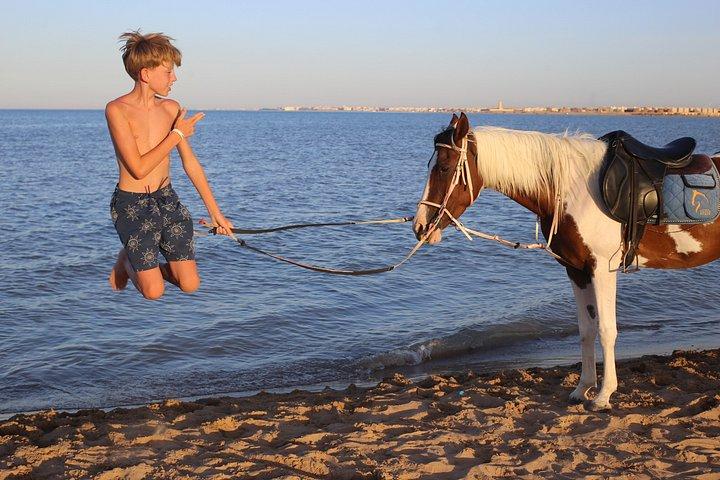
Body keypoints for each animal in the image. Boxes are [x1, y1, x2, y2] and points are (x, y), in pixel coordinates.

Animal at [413, 112, 720, 411]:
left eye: (443, 168)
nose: (420, 226)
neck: (574, 192)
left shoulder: (602, 269)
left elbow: (606, 330)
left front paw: (604, 395)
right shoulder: (577, 270)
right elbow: (586, 330)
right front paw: (583, 388)